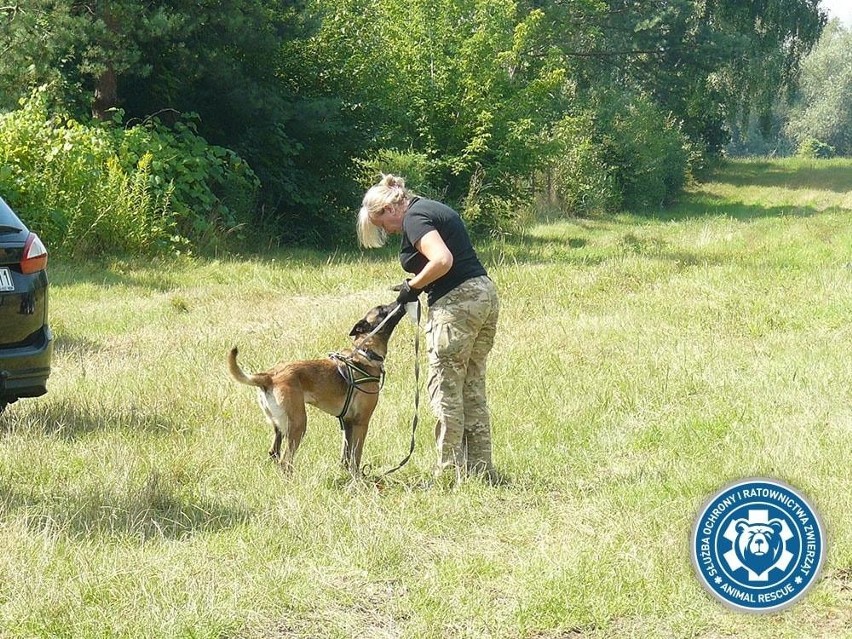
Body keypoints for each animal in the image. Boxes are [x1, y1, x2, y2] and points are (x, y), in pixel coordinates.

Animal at [228, 304, 404, 476]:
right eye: (382, 309)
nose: (401, 300)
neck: (365, 354)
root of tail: (269, 376)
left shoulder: (347, 423)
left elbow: (345, 457)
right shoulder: (361, 422)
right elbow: (356, 458)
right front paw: (357, 479)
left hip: (279, 426)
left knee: (274, 453)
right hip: (299, 424)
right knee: (285, 461)